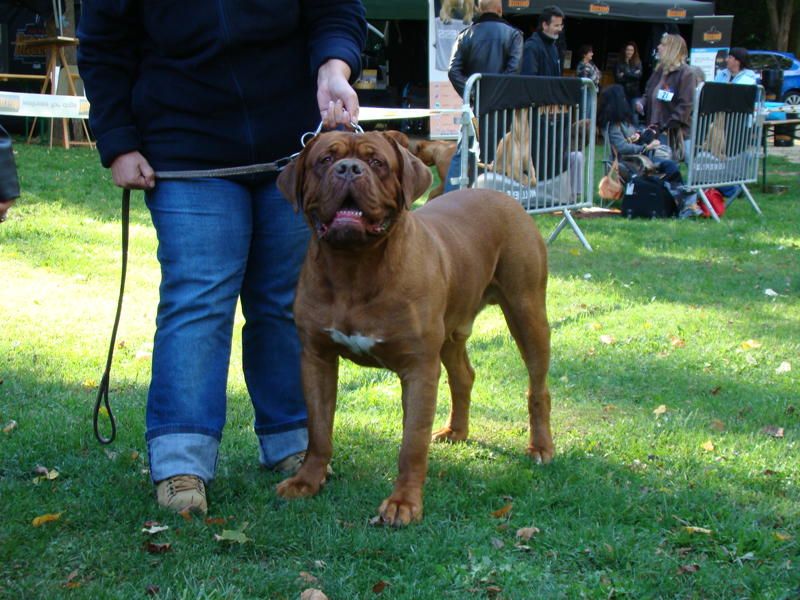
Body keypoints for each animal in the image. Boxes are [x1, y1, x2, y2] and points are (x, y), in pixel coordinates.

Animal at [274, 130, 552, 524]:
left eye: (377, 162)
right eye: (325, 160)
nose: (349, 169)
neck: (354, 267)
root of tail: (505, 196)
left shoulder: (418, 367)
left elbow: (412, 443)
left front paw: (403, 503)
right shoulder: (317, 359)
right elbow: (318, 428)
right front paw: (307, 481)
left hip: (526, 311)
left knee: (537, 388)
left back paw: (541, 447)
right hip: (452, 329)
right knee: (463, 375)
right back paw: (456, 431)